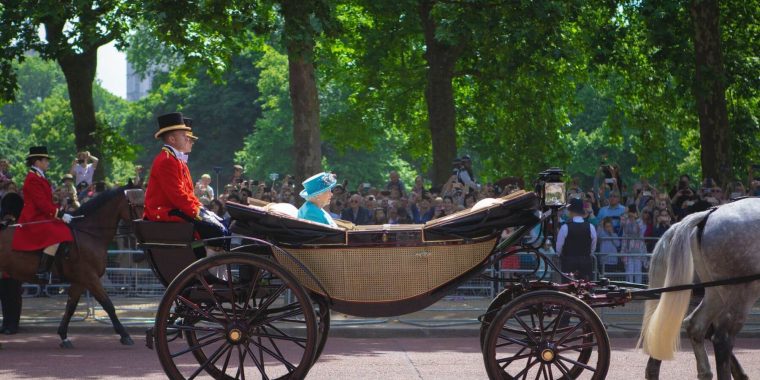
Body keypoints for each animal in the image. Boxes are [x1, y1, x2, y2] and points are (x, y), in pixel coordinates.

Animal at [0, 186, 138, 348]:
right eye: (137, 204)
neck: (89, 234)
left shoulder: (80, 281)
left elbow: (70, 307)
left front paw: (64, 336)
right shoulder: (90, 278)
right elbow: (108, 304)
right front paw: (125, 335)